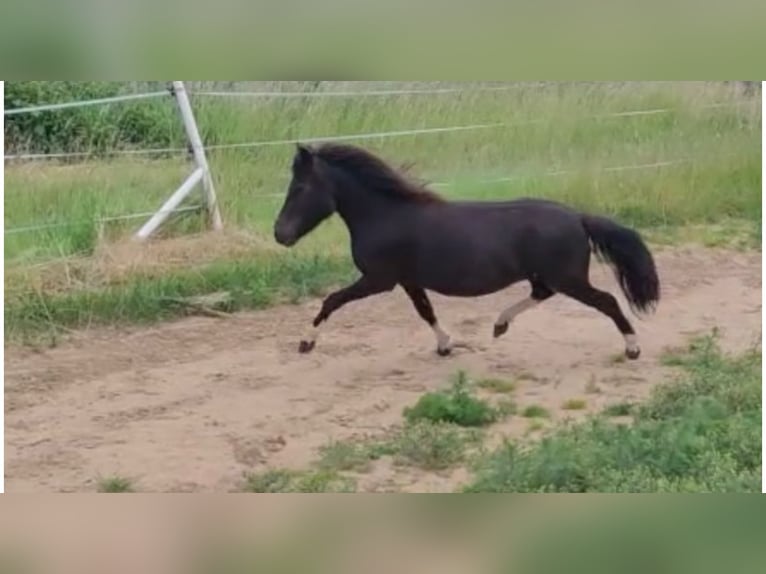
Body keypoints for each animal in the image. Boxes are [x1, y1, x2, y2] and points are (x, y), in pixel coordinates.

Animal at [274, 143, 660, 360]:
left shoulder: (379, 279)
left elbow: (332, 301)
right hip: (551, 276)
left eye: (301, 187)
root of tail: (579, 217)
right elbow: (425, 311)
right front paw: (446, 346)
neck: (386, 214)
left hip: (568, 278)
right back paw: (499, 325)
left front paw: (305, 342)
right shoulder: (407, 280)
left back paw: (633, 349)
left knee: (606, 301)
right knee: (541, 294)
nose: (280, 235)